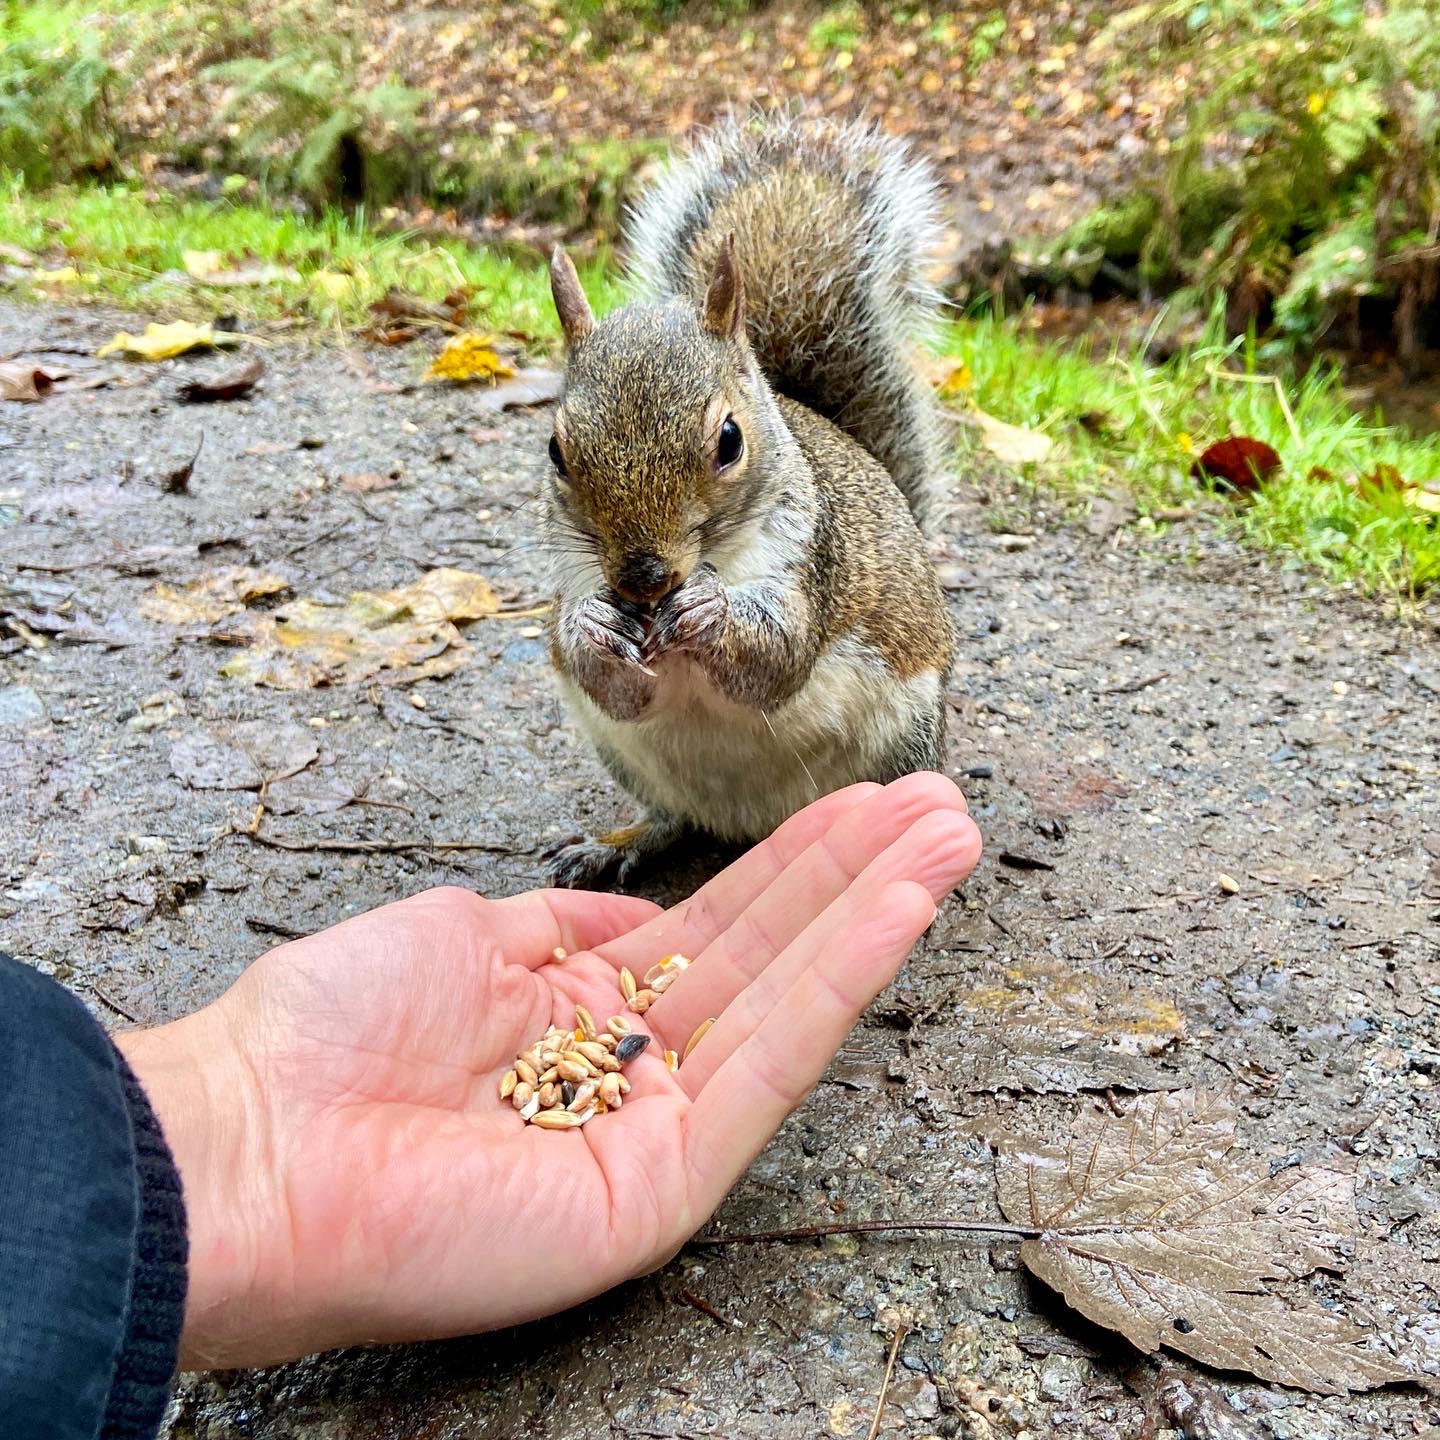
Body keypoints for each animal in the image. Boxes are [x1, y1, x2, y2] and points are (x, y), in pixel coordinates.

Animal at [541, 113, 956, 888]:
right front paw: (595, 627)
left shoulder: (810, 561)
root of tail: (749, 824)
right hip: (625, 758)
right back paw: (619, 843)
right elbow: (612, 683)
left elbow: (776, 657)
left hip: (902, 741)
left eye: (729, 440)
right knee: (672, 818)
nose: (644, 578)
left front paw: (711, 611)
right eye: (556, 450)